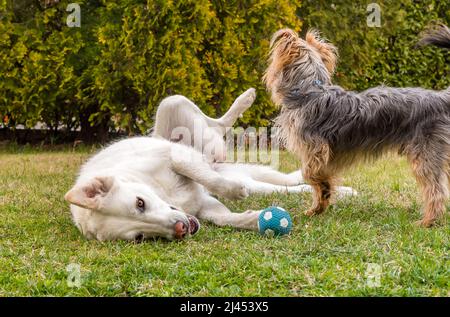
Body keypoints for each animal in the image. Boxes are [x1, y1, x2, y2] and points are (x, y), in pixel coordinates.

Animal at [66, 87, 356, 241]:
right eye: (139, 238)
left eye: (140, 203)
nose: (181, 229)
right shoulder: (203, 205)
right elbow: (226, 218)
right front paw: (254, 220)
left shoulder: (177, 156)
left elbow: (203, 176)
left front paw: (235, 192)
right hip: (254, 176)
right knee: (289, 184)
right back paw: (340, 192)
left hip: (172, 107)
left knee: (218, 126)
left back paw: (245, 100)